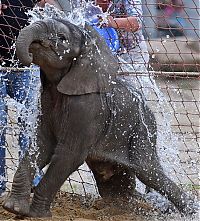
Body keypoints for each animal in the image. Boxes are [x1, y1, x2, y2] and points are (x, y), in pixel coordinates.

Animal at [3, 19, 195, 218]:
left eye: (62, 38)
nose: (27, 56)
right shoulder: (45, 100)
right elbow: (41, 145)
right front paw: (14, 208)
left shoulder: (87, 108)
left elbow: (69, 154)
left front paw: (37, 215)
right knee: (115, 185)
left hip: (143, 130)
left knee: (147, 171)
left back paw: (190, 211)